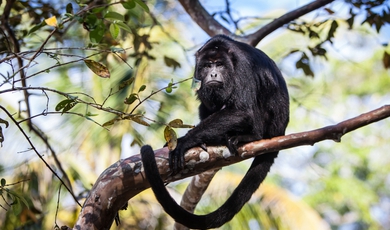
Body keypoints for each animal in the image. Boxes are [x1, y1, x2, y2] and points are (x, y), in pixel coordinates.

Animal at [141, 35, 290, 229]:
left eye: (219, 65)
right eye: (207, 66)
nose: (213, 74)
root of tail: (280, 130)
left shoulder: (243, 66)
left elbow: (241, 111)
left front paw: (184, 141)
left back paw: (249, 136)